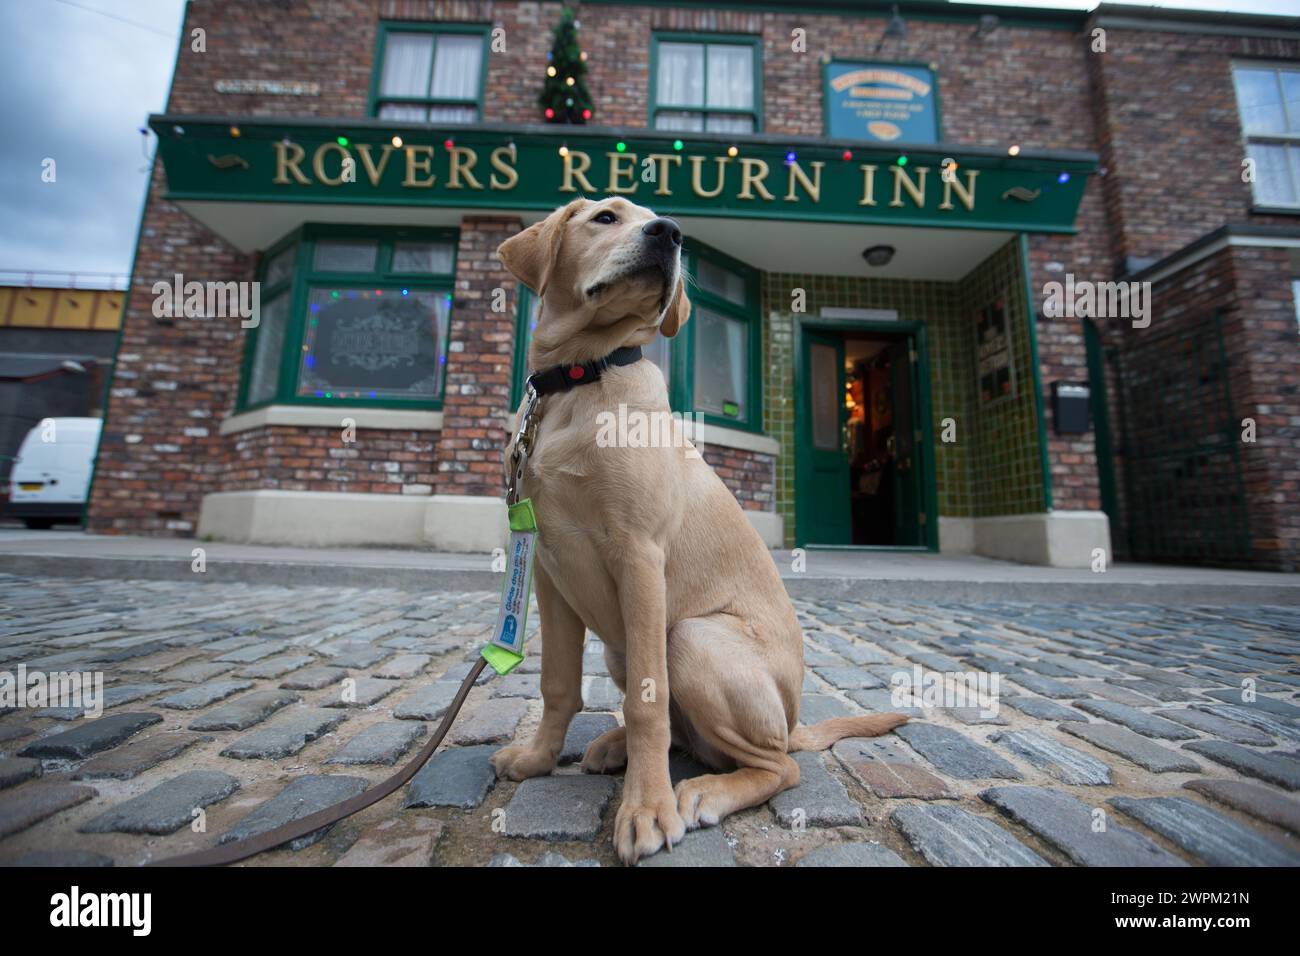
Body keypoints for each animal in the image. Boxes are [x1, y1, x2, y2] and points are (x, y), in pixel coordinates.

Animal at [488, 197, 904, 863]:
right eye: (606, 217)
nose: (671, 234)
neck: (582, 377)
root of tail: (794, 721)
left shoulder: (638, 556)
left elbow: (649, 700)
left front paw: (646, 809)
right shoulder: (550, 571)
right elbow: (558, 683)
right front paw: (537, 760)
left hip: (689, 636)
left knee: (778, 765)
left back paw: (702, 790)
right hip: (623, 644)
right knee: (679, 730)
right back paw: (614, 747)